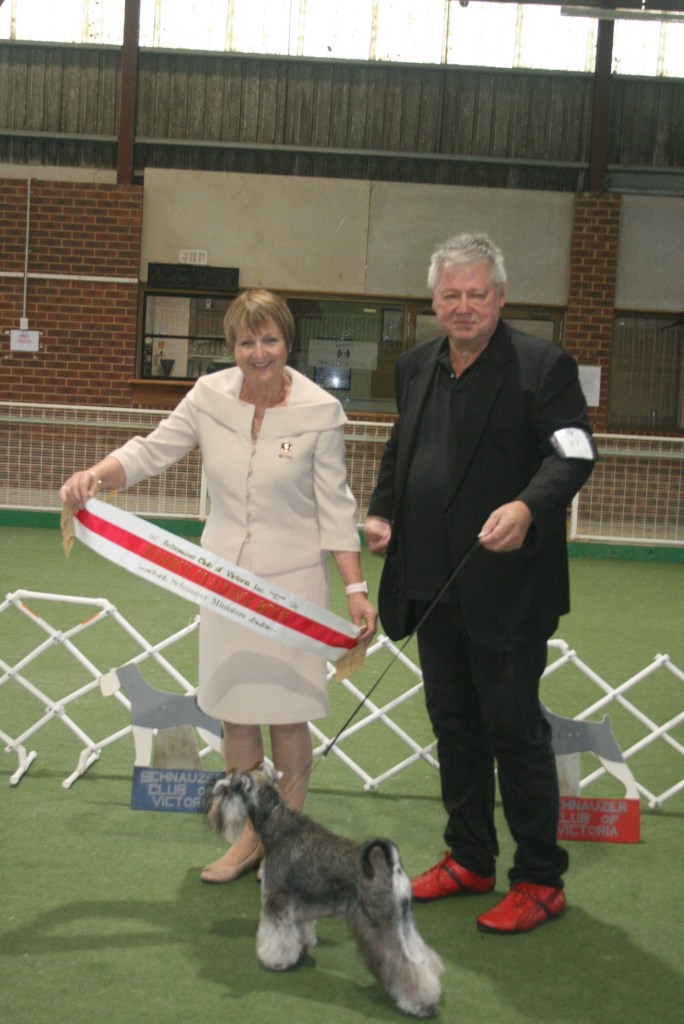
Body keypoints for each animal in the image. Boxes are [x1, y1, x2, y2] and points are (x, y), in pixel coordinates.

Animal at [205, 763, 444, 1017]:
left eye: (226, 790)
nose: (209, 804)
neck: (277, 824)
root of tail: (393, 864)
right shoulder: (299, 905)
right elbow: (300, 932)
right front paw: (301, 949)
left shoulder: (275, 900)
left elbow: (275, 936)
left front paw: (274, 960)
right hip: (404, 922)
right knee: (420, 955)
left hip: (380, 925)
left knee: (404, 965)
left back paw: (419, 1003)